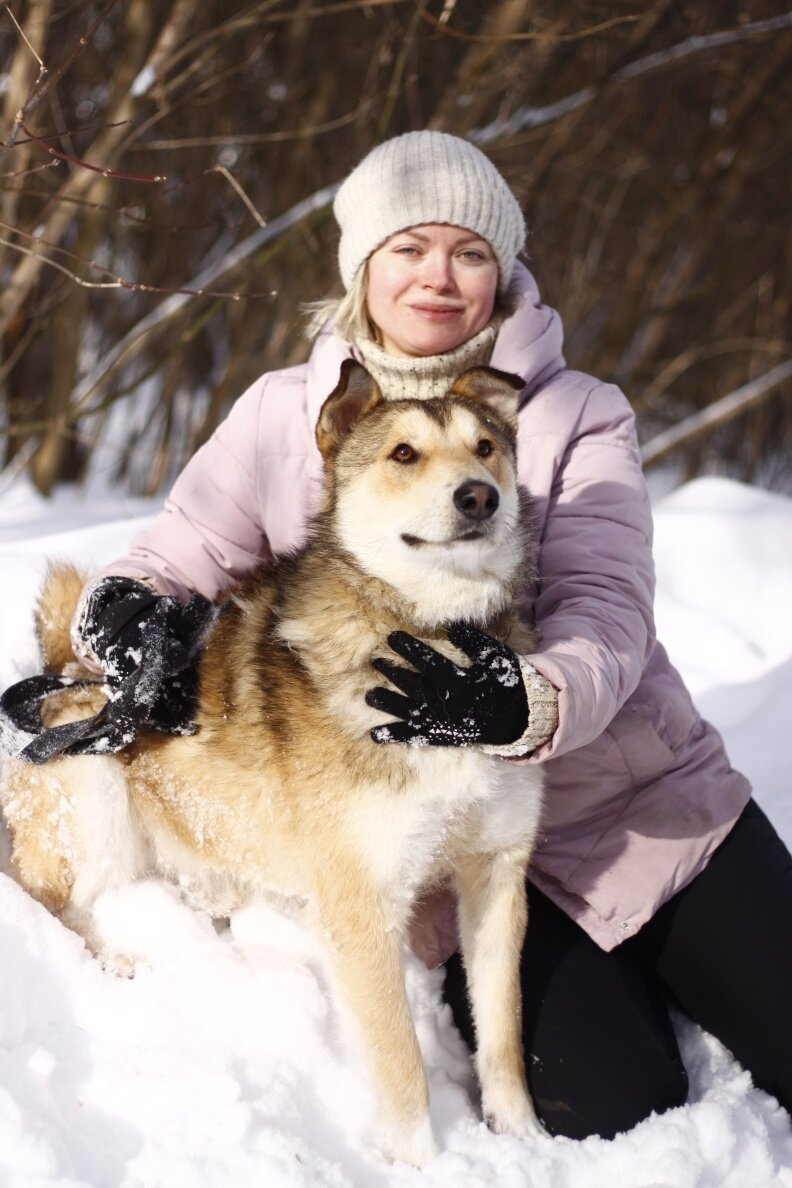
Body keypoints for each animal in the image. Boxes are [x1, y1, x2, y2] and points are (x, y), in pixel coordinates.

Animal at [0, 363, 546, 1168]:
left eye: (487, 447)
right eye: (404, 454)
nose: (480, 495)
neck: (433, 653)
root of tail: (65, 670)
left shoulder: (497, 869)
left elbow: (503, 1029)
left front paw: (524, 1138)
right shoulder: (361, 903)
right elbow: (400, 1062)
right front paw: (424, 1163)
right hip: (92, 795)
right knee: (48, 902)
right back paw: (114, 961)